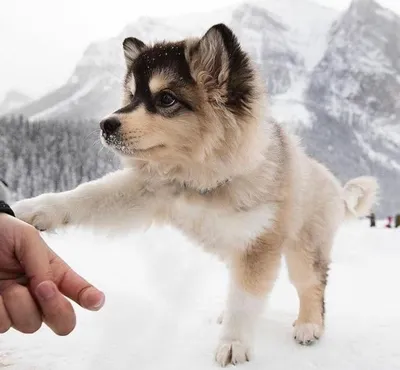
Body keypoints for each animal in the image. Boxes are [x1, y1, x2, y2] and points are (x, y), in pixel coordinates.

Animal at [14, 23, 378, 368]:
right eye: (131, 96)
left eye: (166, 99)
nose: (105, 124)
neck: (202, 179)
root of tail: (335, 185)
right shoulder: (148, 191)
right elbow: (88, 195)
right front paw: (35, 209)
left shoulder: (259, 242)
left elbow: (246, 299)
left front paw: (233, 343)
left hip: (304, 247)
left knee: (311, 285)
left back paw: (309, 325)